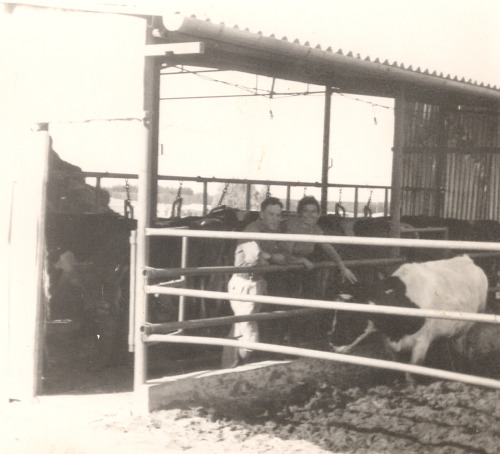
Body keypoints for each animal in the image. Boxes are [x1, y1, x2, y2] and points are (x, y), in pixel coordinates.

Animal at [329, 255, 488, 382]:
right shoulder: (390, 343)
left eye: (351, 316)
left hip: (476, 318)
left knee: (467, 346)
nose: (332, 342)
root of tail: (466, 258)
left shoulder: (422, 343)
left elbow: (411, 375)